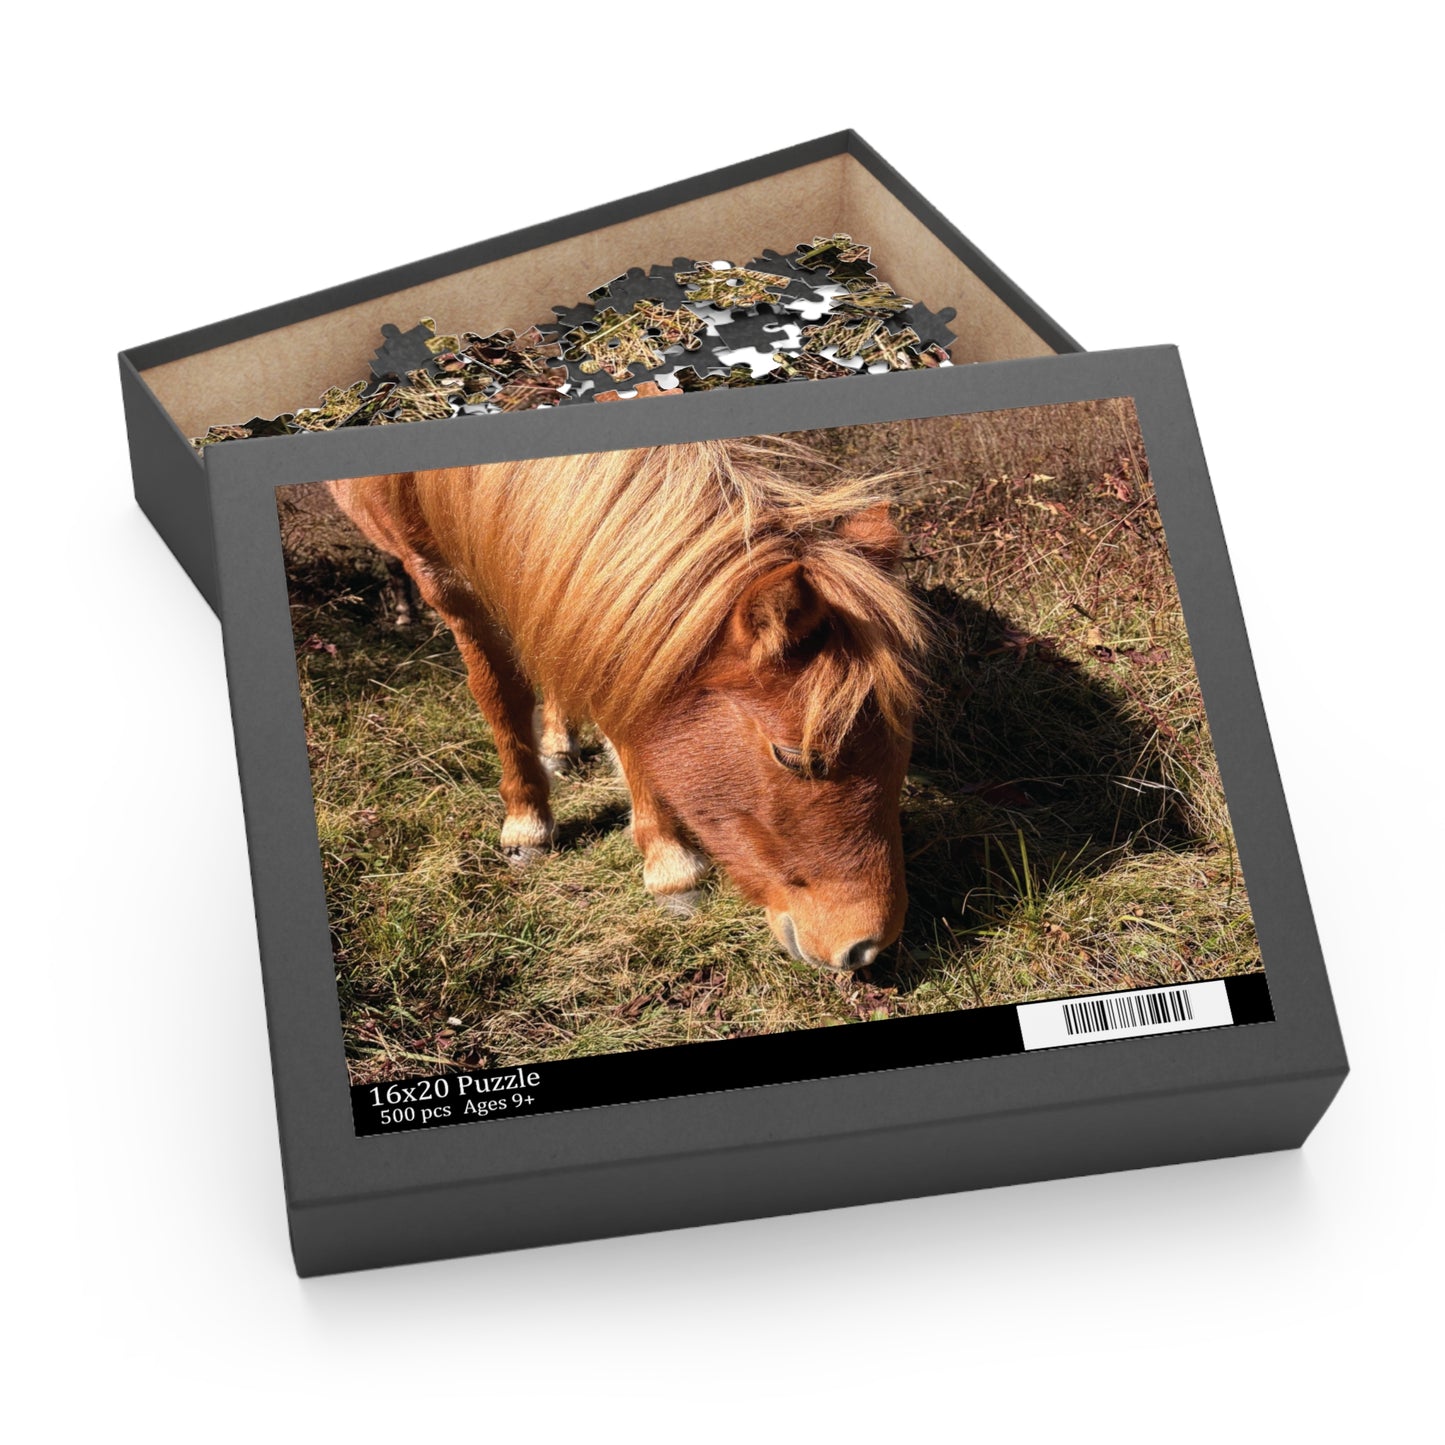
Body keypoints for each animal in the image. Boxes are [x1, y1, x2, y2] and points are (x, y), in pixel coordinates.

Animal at [330, 437, 927, 972]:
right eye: (794, 757)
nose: (866, 946)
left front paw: (667, 862)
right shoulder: (443, 581)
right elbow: (501, 694)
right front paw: (529, 823)